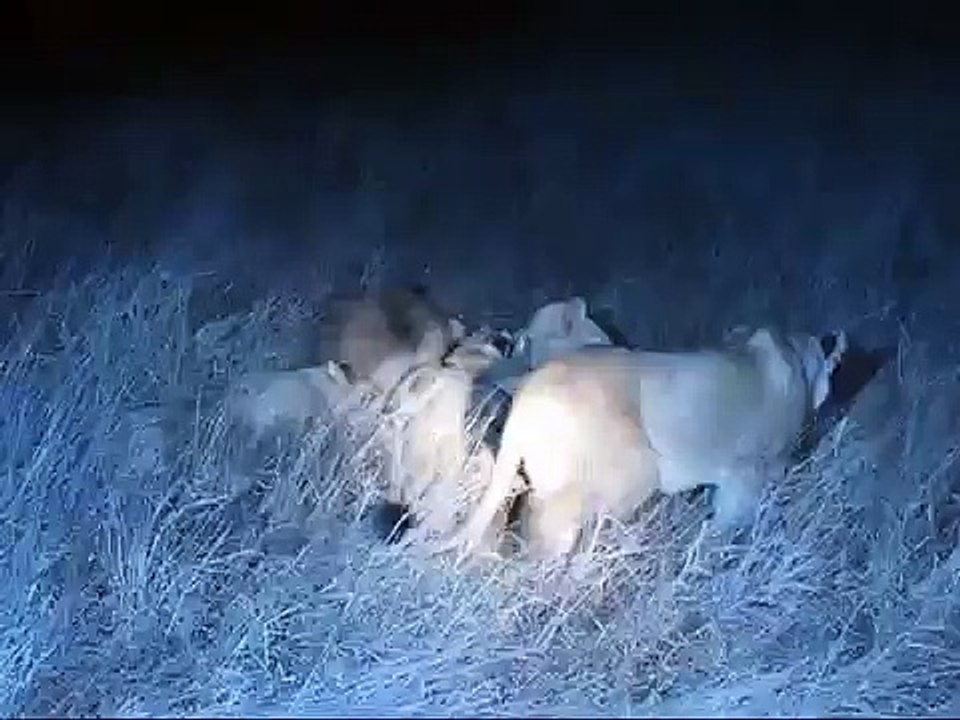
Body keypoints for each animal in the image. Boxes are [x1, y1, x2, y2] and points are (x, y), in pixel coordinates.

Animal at [441, 326, 848, 560]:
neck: (798, 359)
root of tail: (530, 389)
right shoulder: (747, 476)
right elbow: (728, 527)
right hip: (638, 468)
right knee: (552, 534)